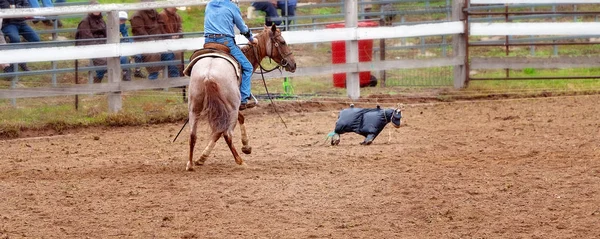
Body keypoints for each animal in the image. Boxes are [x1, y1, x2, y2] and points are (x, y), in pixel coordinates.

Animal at [184, 25, 294, 171]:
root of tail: (208, 73)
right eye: (282, 42)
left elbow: (221, 129)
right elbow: (227, 127)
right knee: (227, 134)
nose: (293, 64)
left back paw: (190, 164)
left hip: (194, 107)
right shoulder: (232, 107)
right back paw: (240, 161)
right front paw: (246, 147)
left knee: (193, 134)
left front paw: (201, 158)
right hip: (230, 108)